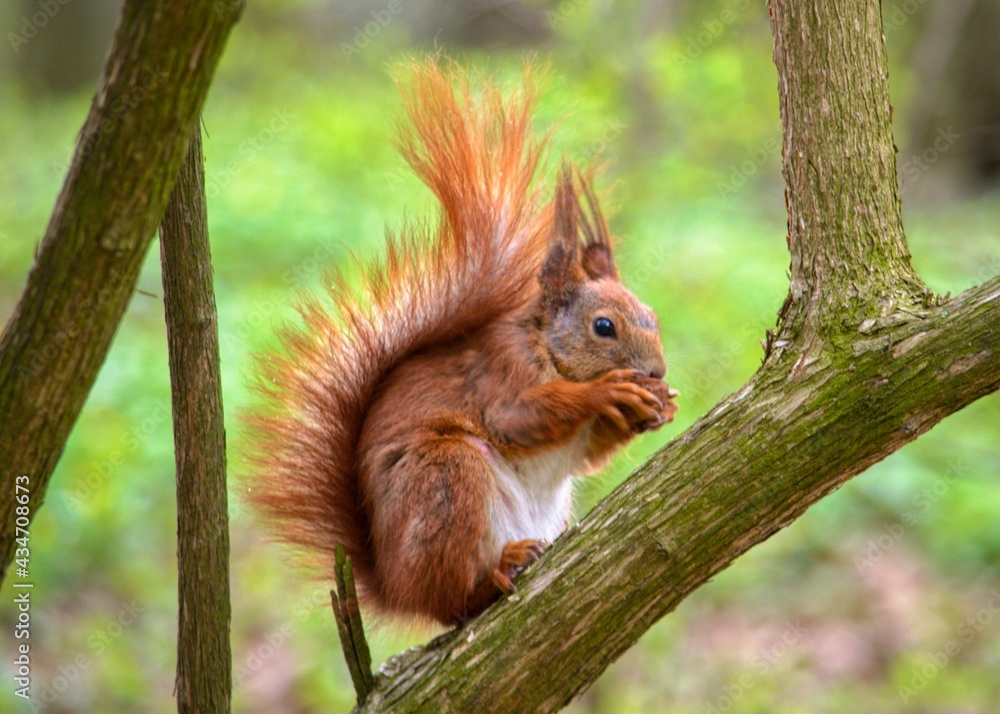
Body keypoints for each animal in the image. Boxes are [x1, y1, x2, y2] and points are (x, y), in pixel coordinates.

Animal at [243, 60, 678, 627]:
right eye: (603, 327)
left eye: (653, 317)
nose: (657, 372)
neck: (545, 346)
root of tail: (395, 586)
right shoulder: (501, 374)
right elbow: (519, 418)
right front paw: (606, 392)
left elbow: (588, 456)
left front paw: (659, 407)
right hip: (449, 476)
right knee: (451, 601)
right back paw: (493, 576)